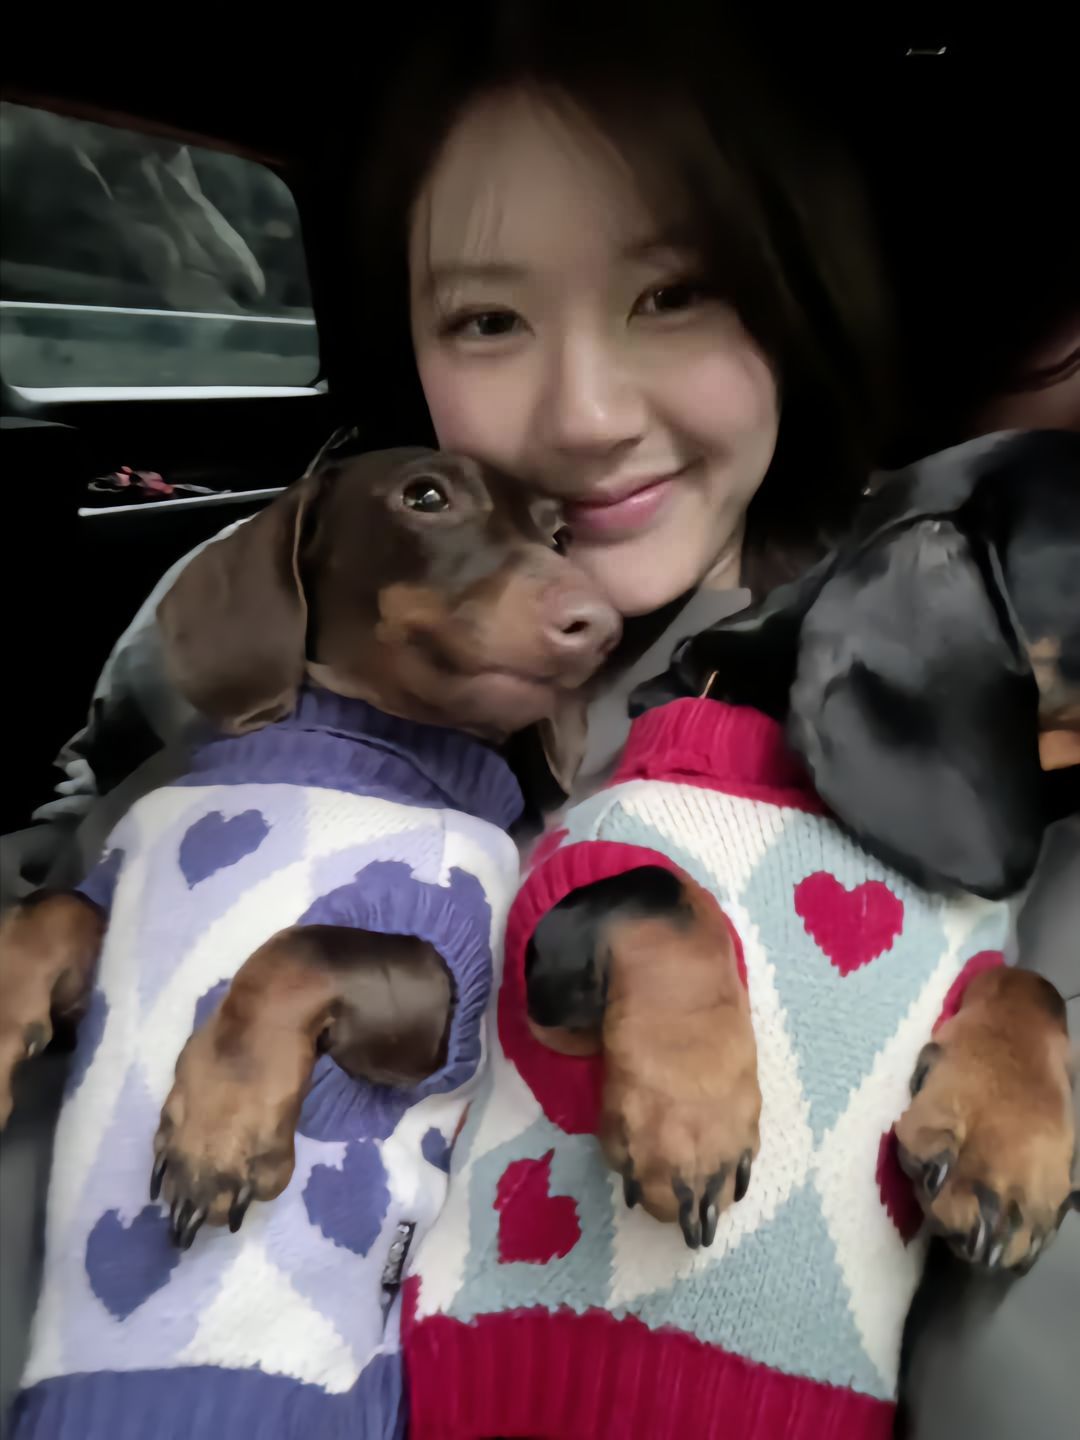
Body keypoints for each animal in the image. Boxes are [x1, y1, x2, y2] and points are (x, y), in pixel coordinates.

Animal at [0, 441, 619, 1440]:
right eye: (425, 496)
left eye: (563, 536)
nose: (597, 625)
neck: (349, 744)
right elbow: (51, 911)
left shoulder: (440, 997)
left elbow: (304, 945)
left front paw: (218, 1122)